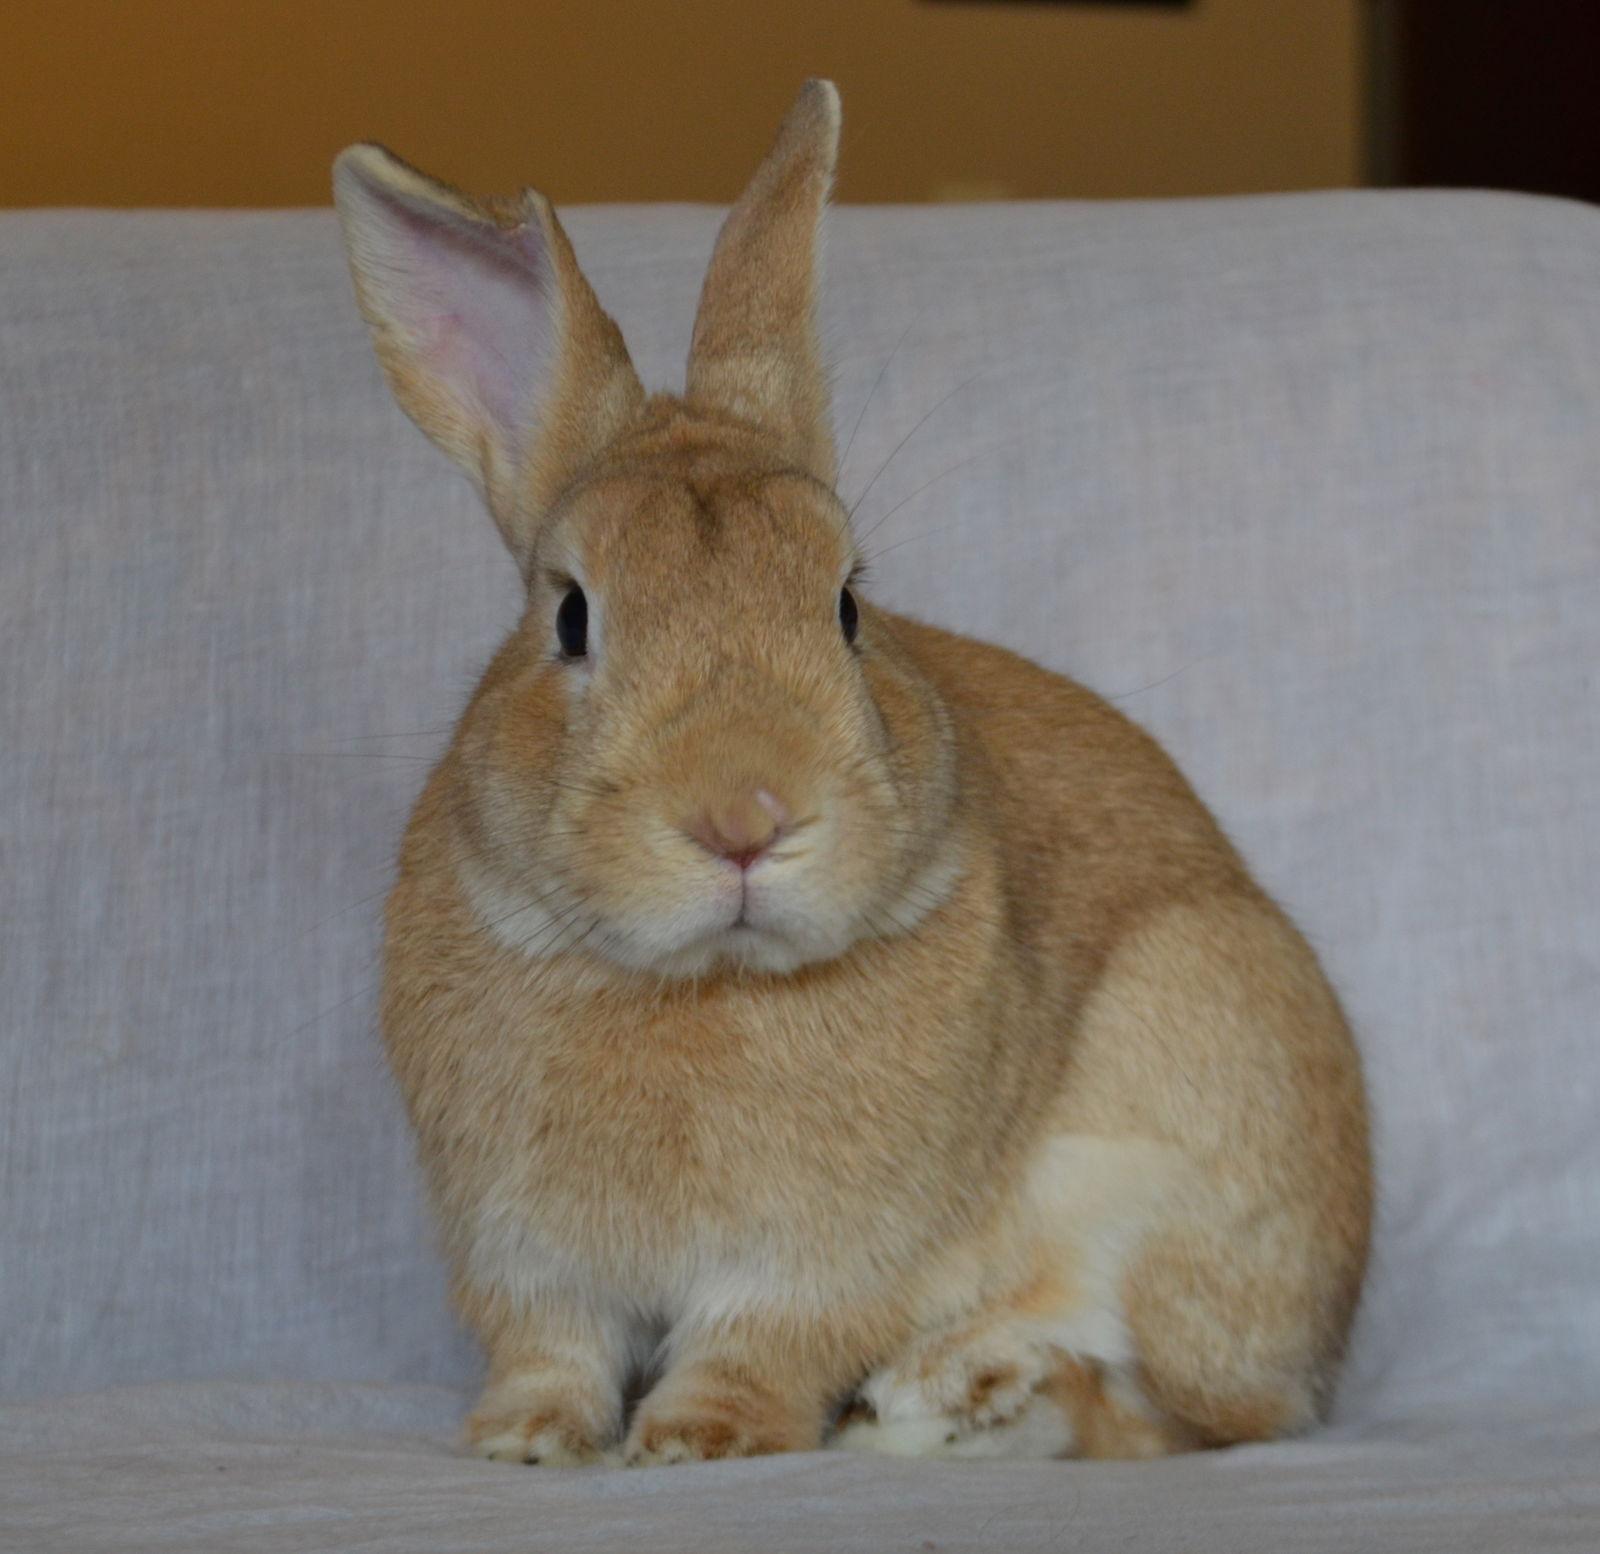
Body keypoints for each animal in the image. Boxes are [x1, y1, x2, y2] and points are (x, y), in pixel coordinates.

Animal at [331, 80, 1371, 1466]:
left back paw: (946, 1394)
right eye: (571, 617)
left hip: (1190, 1084)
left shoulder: (813, 1265)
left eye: (846, 607)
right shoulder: (529, 1261)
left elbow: (757, 1344)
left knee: (1166, 1403)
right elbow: (552, 1349)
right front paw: (524, 1440)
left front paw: (698, 1440)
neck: (703, 986)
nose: (745, 817)